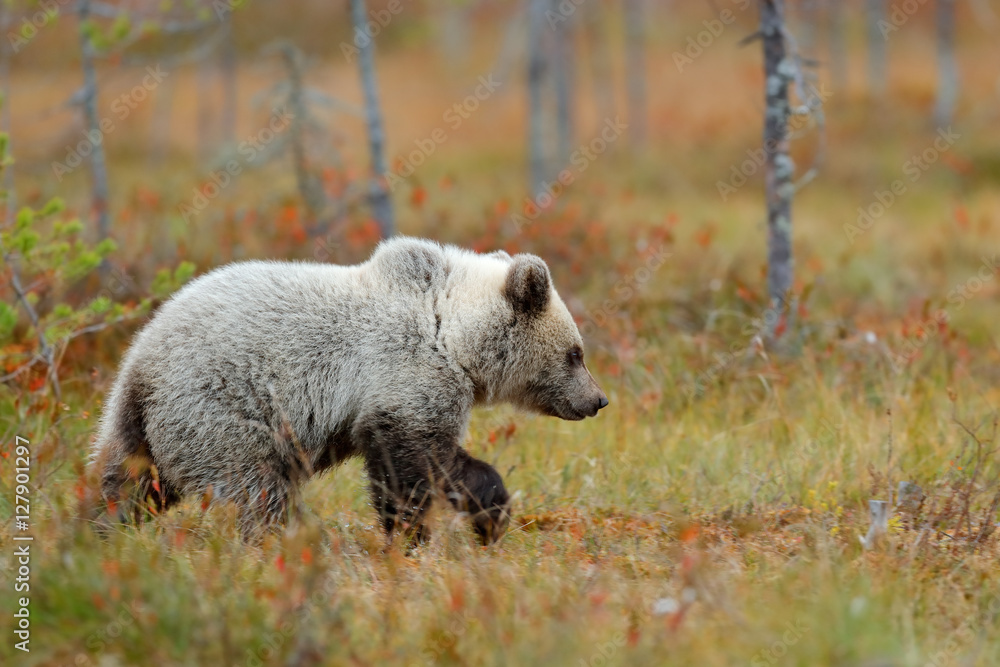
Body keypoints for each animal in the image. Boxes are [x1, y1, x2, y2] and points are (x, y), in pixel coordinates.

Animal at [92, 237, 608, 544]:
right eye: (576, 352)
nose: (598, 399)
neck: (453, 335)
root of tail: (140, 361)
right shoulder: (405, 379)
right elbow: (417, 465)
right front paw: (468, 520)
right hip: (221, 413)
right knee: (256, 490)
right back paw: (279, 544)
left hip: (145, 424)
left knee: (126, 481)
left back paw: (95, 532)